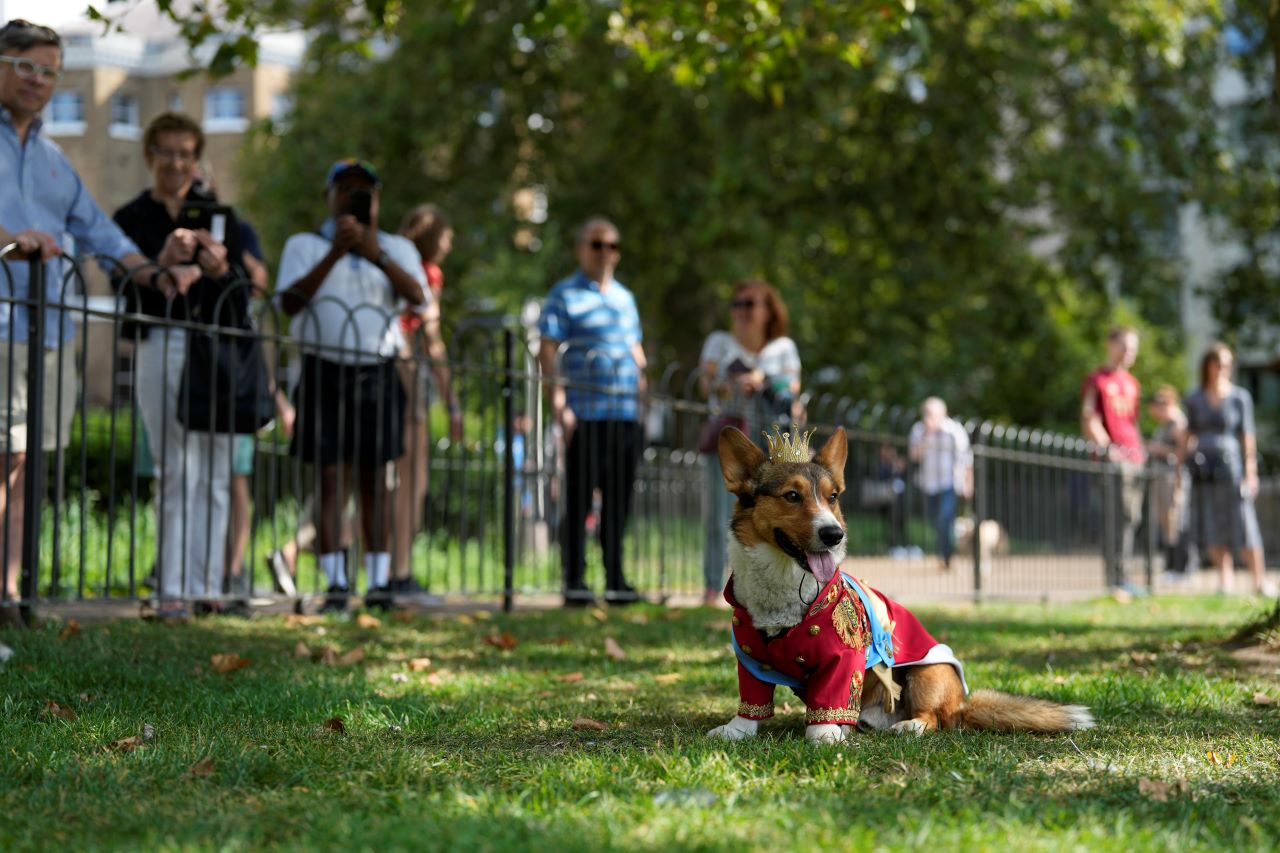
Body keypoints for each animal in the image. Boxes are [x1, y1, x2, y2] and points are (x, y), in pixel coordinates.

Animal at [706, 427, 1095, 742]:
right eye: (791, 496)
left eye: (832, 497)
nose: (835, 535)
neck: (784, 582)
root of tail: (963, 705)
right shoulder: (750, 659)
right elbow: (752, 701)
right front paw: (737, 730)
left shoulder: (843, 658)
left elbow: (829, 701)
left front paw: (825, 735)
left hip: (929, 672)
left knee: (935, 719)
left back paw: (908, 726)